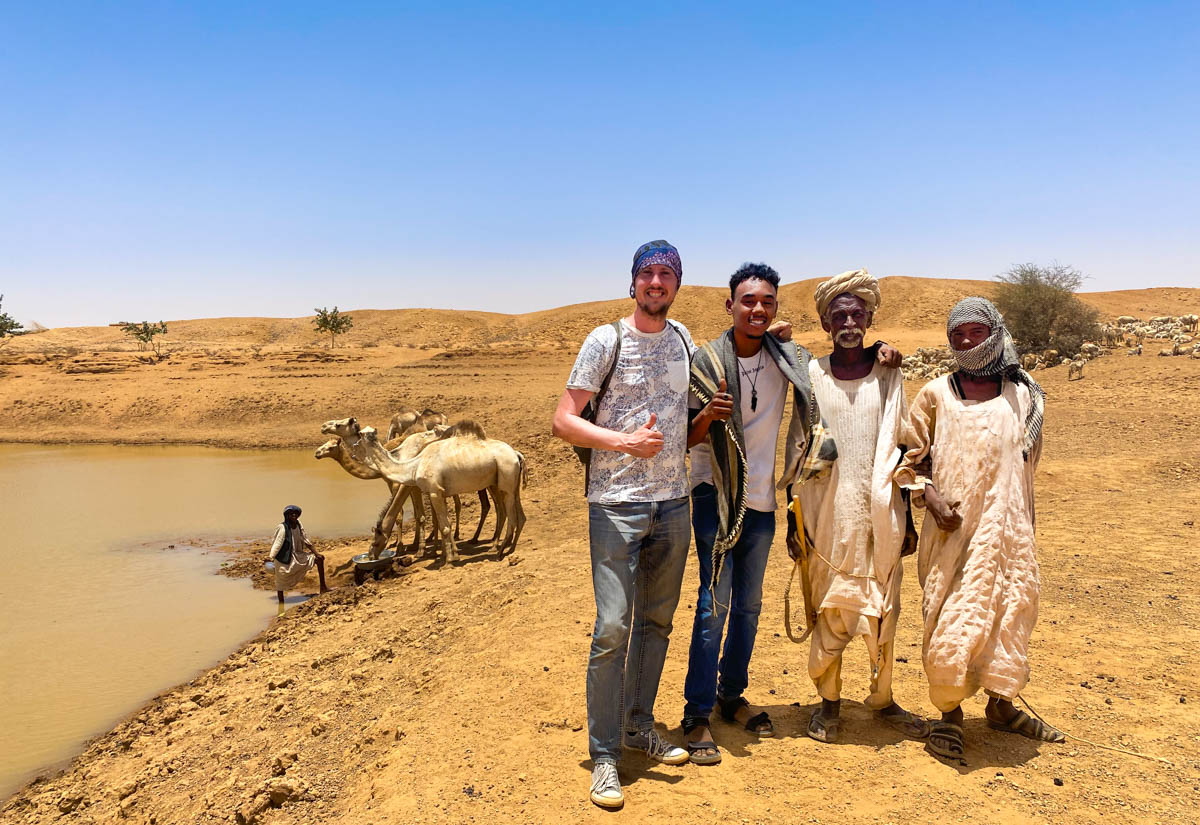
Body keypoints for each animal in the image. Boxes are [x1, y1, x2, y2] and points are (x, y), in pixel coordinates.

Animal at [321, 414, 523, 563]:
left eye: (340, 424)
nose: (371, 555)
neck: (407, 460)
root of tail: (516, 453)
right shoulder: (426, 488)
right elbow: (435, 519)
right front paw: (440, 550)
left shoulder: (414, 487)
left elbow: (422, 518)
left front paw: (426, 552)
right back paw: (500, 545)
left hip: (498, 482)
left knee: (499, 508)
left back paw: (495, 546)